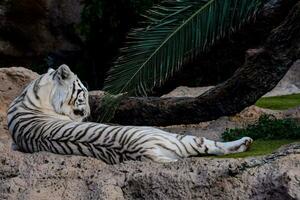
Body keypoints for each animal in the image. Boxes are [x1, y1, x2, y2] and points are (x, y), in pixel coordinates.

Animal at [6, 64, 253, 164]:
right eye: (83, 93)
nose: (89, 112)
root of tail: (143, 151)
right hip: (172, 135)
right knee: (213, 146)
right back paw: (245, 142)